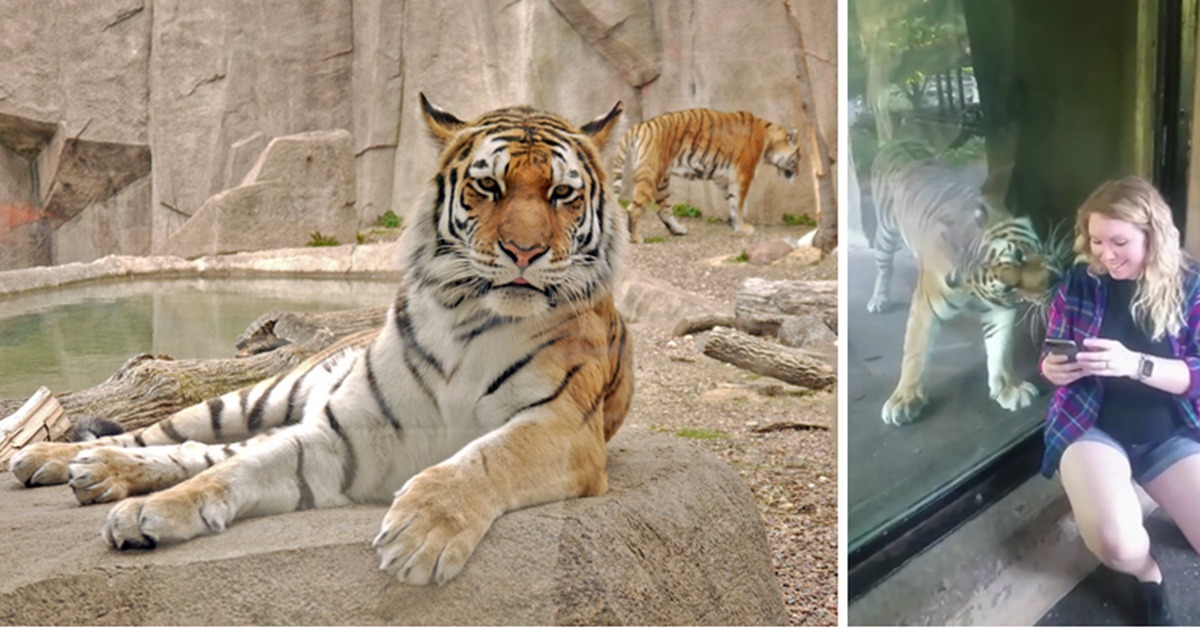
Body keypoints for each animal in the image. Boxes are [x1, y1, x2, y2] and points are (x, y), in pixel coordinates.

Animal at [9, 94, 633, 583]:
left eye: (562, 194)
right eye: (488, 185)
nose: (525, 253)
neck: (467, 321)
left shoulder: (561, 427)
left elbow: (484, 460)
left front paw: (424, 529)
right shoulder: (347, 436)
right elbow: (237, 472)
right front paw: (149, 514)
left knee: (195, 452)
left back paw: (96, 472)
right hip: (255, 396)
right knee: (171, 436)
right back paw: (50, 458)